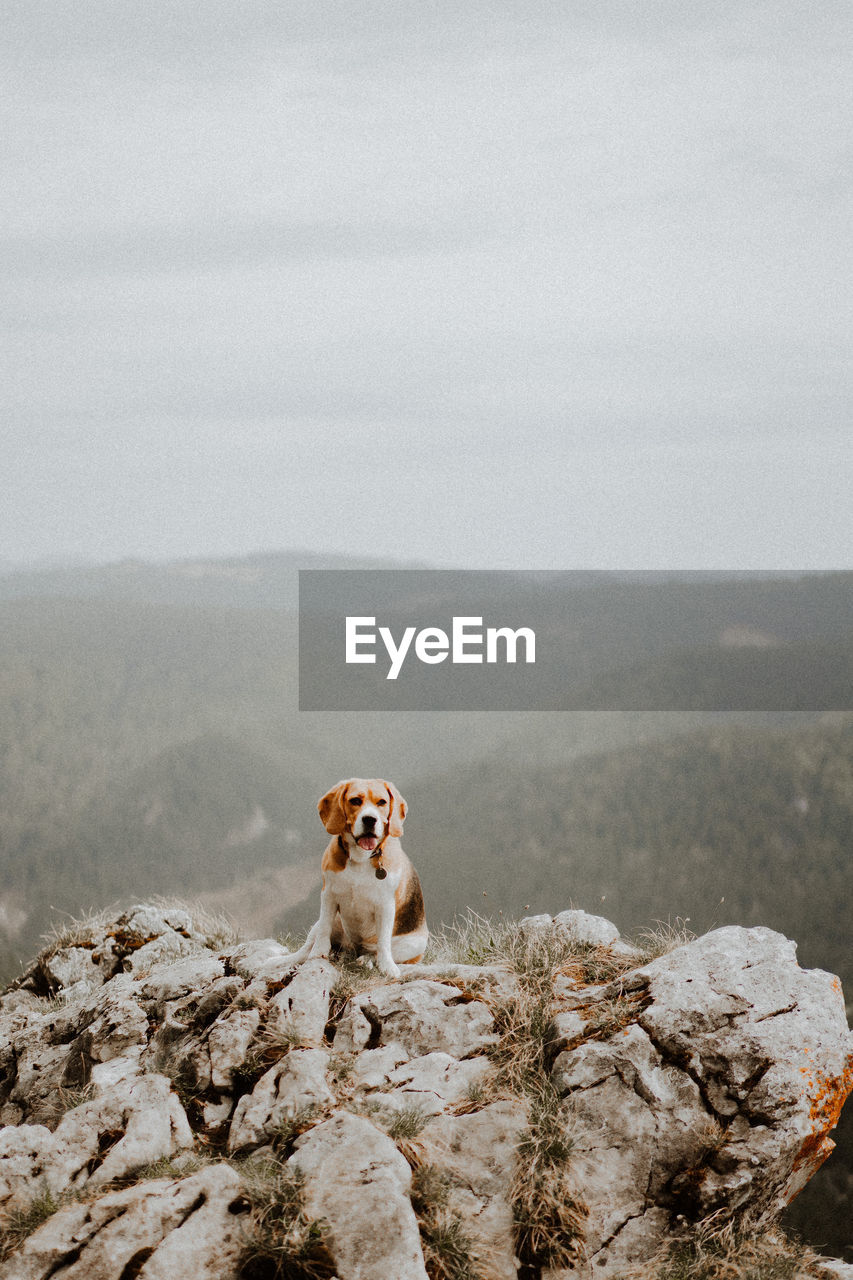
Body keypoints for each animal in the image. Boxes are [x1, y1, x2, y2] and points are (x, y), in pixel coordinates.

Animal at [281, 778, 425, 977]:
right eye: (355, 800)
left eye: (382, 802)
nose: (370, 819)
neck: (360, 858)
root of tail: (352, 950)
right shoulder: (328, 895)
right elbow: (323, 931)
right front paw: (318, 954)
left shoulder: (386, 905)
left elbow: (383, 942)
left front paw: (387, 967)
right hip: (329, 922)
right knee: (306, 947)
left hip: (414, 944)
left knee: (376, 950)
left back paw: (367, 960)